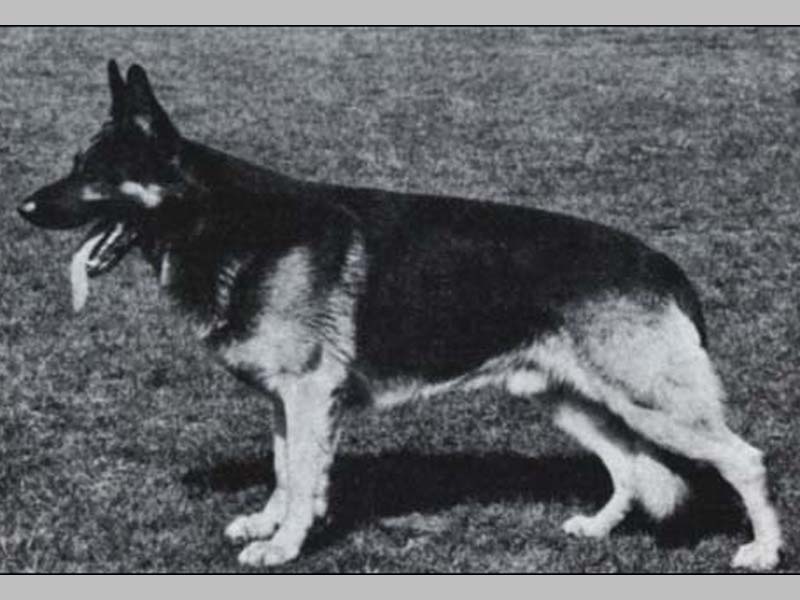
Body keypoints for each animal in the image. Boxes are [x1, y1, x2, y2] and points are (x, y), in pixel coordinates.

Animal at [17, 60, 783, 570]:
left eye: (95, 173)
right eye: (74, 163)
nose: (23, 208)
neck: (219, 221)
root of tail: (659, 260)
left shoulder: (307, 393)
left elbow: (301, 474)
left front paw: (284, 545)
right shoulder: (285, 400)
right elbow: (286, 469)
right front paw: (270, 524)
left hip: (653, 404)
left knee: (743, 460)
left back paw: (763, 552)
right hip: (574, 402)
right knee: (630, 467)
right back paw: (597, 530)